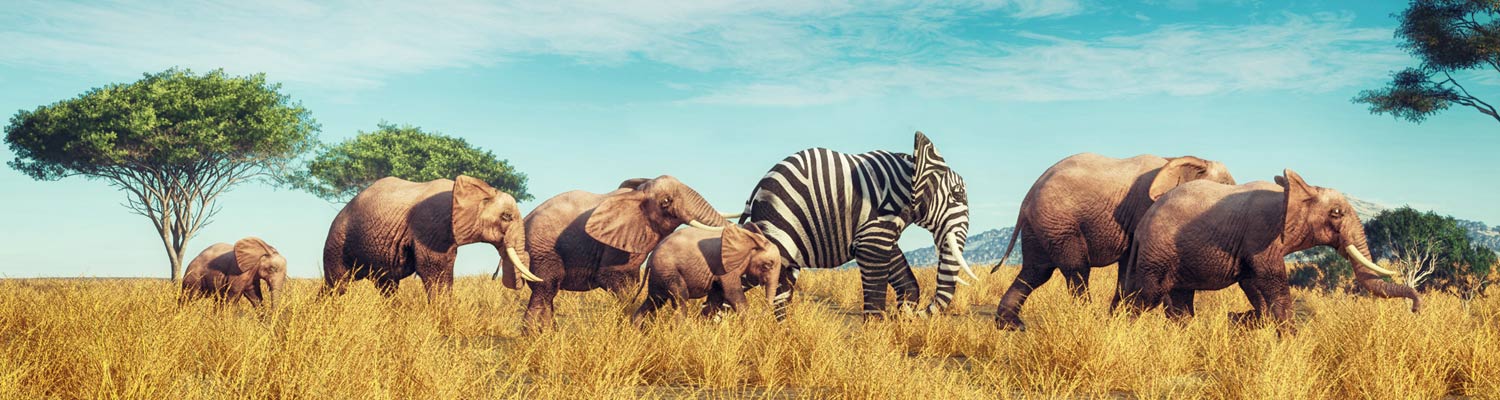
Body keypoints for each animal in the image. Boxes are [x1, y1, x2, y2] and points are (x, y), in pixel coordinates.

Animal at [322, 175, 540, 302]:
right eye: (506, 216)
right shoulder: (431, 223)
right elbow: (435, 271)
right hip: (338, 238)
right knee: (337, 283)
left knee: (386, 285)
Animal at [522, 175, 731, 331]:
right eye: (666, 202)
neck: (639, 194)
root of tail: (525, 219)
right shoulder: (614, 244)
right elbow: (612, 278)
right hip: (542, 248)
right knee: (547, 286)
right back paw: (534, 338)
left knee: (547, 292)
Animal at [631, 223, 784, 327]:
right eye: (768, 265)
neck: (747, 240)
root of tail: (650, 258)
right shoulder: (724, 267)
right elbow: (732, 294)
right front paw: (750, 326)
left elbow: (716, 297)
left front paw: (703, 327)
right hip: (667, 268)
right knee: (680, 298)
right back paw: (682, 331)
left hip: (659, 273)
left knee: (655, 299)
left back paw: (637, 330)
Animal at [994, 153, 1236, 330]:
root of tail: (1028, 196)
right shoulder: (1145, 210)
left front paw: (1118, 320)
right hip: (1058, 220)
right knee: (1077, 269)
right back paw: (1087, 319)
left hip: (1042, 224)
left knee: (1036, 270)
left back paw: (1010, 326)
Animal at [1117, 169, 1420, 333]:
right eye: (1336, 213)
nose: (1416, 309)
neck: (1292, 192)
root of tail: (1142, 226)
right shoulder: (1261, 234)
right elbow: (1272, 284)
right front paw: (1290, 344)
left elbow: (1254, 286)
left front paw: (1254, 323)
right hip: (1159, 253)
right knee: (1147, 296)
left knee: (1177, 299)